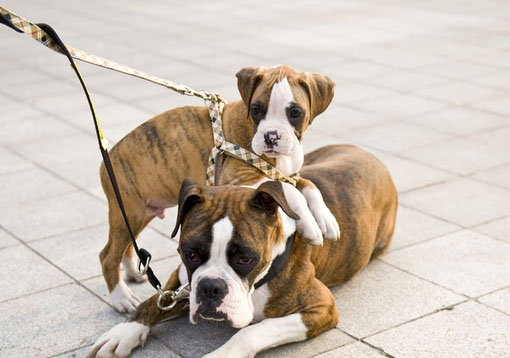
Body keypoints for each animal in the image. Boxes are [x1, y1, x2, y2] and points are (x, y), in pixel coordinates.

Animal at [87, 144, 398, 356]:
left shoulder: (320, 308)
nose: (210, 287)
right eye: (190, 254)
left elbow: (252, 331)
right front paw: (124, 332)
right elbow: (154, 300)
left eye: (246, 259)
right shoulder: (181, 280)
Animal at [98, 65, 338, 314]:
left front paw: (326, 219)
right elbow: (293, 193)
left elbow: (309, 187)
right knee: (107, 256)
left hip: (139, 213)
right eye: (256, 109)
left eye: (295, 113)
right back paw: (121, 298)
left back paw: (131, 273)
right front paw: (311, 226)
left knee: (125, 246)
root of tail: (108, 157)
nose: (271, 136)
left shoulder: (289, 175)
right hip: (130, 211)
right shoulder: (238, 179)